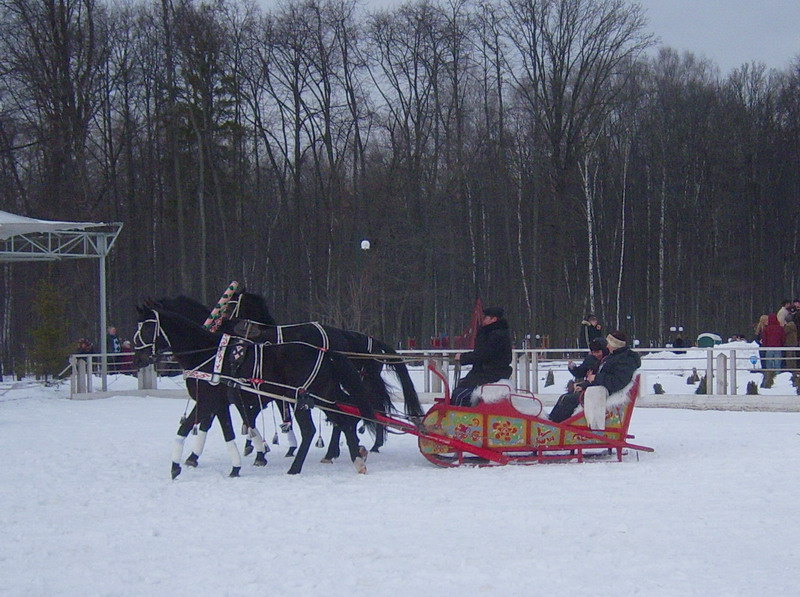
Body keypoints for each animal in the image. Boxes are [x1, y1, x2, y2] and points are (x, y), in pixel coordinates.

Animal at [135, 304, 378, 472]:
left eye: (146, 330)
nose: (138, 358)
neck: (209, 354)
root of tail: (326, 352)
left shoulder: (209, 401)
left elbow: (189, 427)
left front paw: (178, 466)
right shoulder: (221, 402)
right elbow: (229, 429)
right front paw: (240, 461)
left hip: (300, 398)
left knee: (313, 429)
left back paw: (297, 467)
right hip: (322, 396)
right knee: (344, 420)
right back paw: (355, 457)